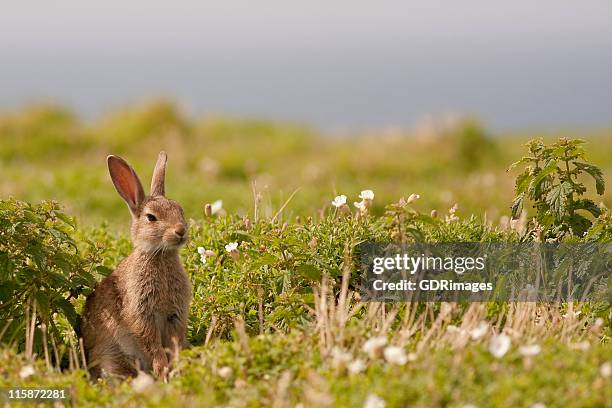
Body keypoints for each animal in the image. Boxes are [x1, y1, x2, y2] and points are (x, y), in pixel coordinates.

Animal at [81, 151, 191, 380]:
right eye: (151, 217)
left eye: (180, 210)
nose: (180, 231)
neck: (160, 255)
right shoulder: (141, 312)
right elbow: (151, 341)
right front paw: (163, 369)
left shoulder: (175, 315)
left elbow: (174, 342)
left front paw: (174, 367)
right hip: (111, 357)